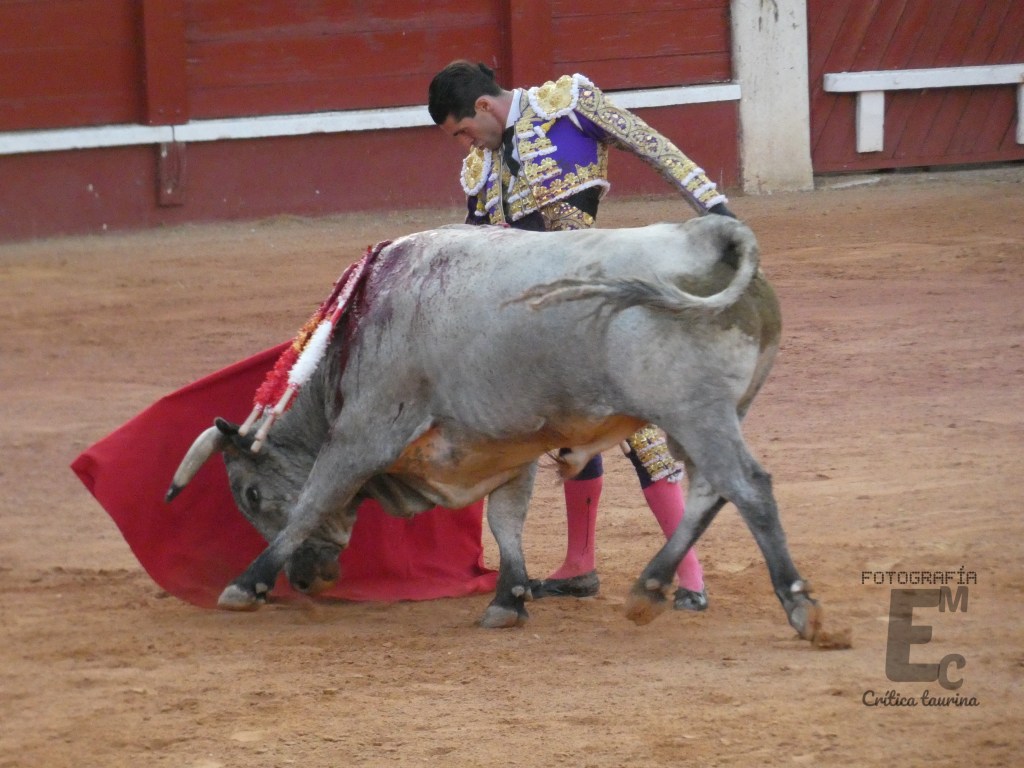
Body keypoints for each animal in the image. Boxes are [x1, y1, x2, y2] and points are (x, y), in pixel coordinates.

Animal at [167, 215, 823, 642]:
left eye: (251, 494)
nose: (307, 580)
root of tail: (709, 236)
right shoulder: (509, 447)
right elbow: (507, 519)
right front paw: (510, 599)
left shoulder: (363, 432)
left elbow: (311, 502)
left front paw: (246, 585)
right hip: (714, 414)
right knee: (709, 491)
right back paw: (649, 590)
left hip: (694, 410)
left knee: (748, 487)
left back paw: (800, 607)